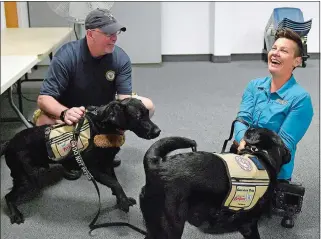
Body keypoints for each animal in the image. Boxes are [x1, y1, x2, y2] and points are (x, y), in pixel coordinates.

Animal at [0, 97, 160, 224]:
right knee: (8, 197)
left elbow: (115, 182)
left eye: (147, 113)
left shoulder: (108, 164)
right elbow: (114, 183)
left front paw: (121, 200)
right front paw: (124, 202)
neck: (102, 125)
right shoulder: (94, 169)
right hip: (28, 178)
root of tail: (9, 143)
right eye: (138, 116)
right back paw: (15, 214)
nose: (158, 131)